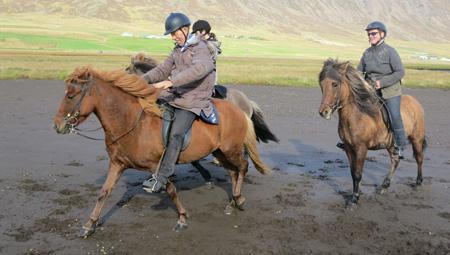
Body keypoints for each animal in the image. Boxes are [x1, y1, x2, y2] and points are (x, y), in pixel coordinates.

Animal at [52, 66, 270, 237]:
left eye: (71, 95)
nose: (57, 126)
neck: (132, 122)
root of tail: (239, 109)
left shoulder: (157, 165)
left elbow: (170, 190)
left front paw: (182, 218)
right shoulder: (117, 164)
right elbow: (103, 193)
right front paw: (89, 225)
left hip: (230, 149)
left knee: (243, 167)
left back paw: (239, 199)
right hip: (220, 152)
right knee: (233, 172)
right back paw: (232, 201)